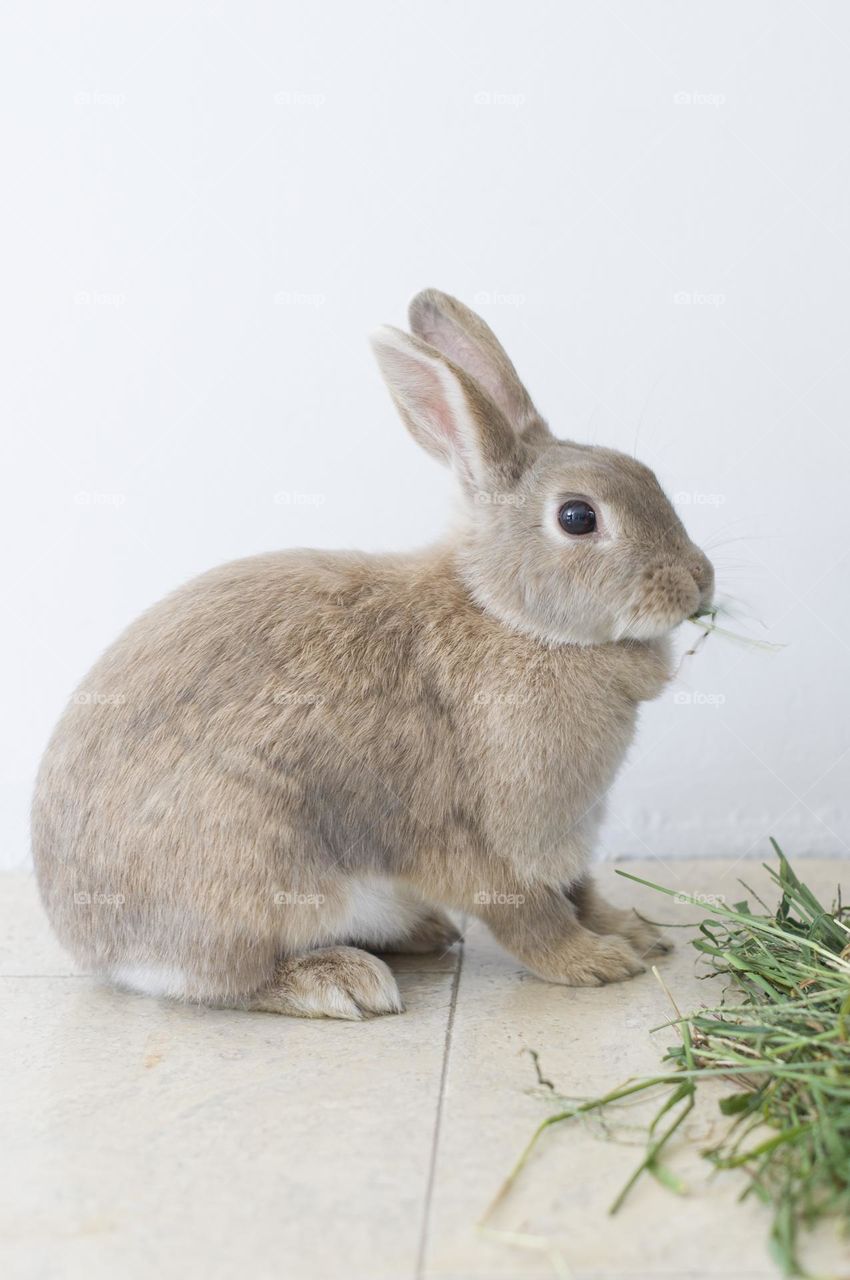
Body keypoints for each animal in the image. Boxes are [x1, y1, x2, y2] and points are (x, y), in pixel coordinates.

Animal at [29, 290, 711, 1018]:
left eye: (647, 476)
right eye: (578, 518)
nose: (700, 580)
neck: (509, 617)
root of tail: (90, 943)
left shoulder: (569, 838)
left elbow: (583, 892)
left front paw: (636, 932)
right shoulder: (485, 842)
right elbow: (531, 917)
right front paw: (596, 962)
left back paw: (423, 934)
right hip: (249, 864)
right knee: (229, 981)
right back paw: (341, 982)